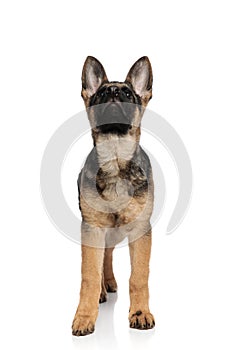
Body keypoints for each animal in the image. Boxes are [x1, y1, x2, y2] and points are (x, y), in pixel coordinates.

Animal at [71, 56, 155, 336]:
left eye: (128, 93)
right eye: (100, 94)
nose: (114, 93)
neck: (116, 160)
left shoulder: (140, 230)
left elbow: (139, 276)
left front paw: (140, 313)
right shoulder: (92, 229)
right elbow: (89, 274)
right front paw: (84, 317)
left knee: (107, 255)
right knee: (101, 259)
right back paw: (101, 289)